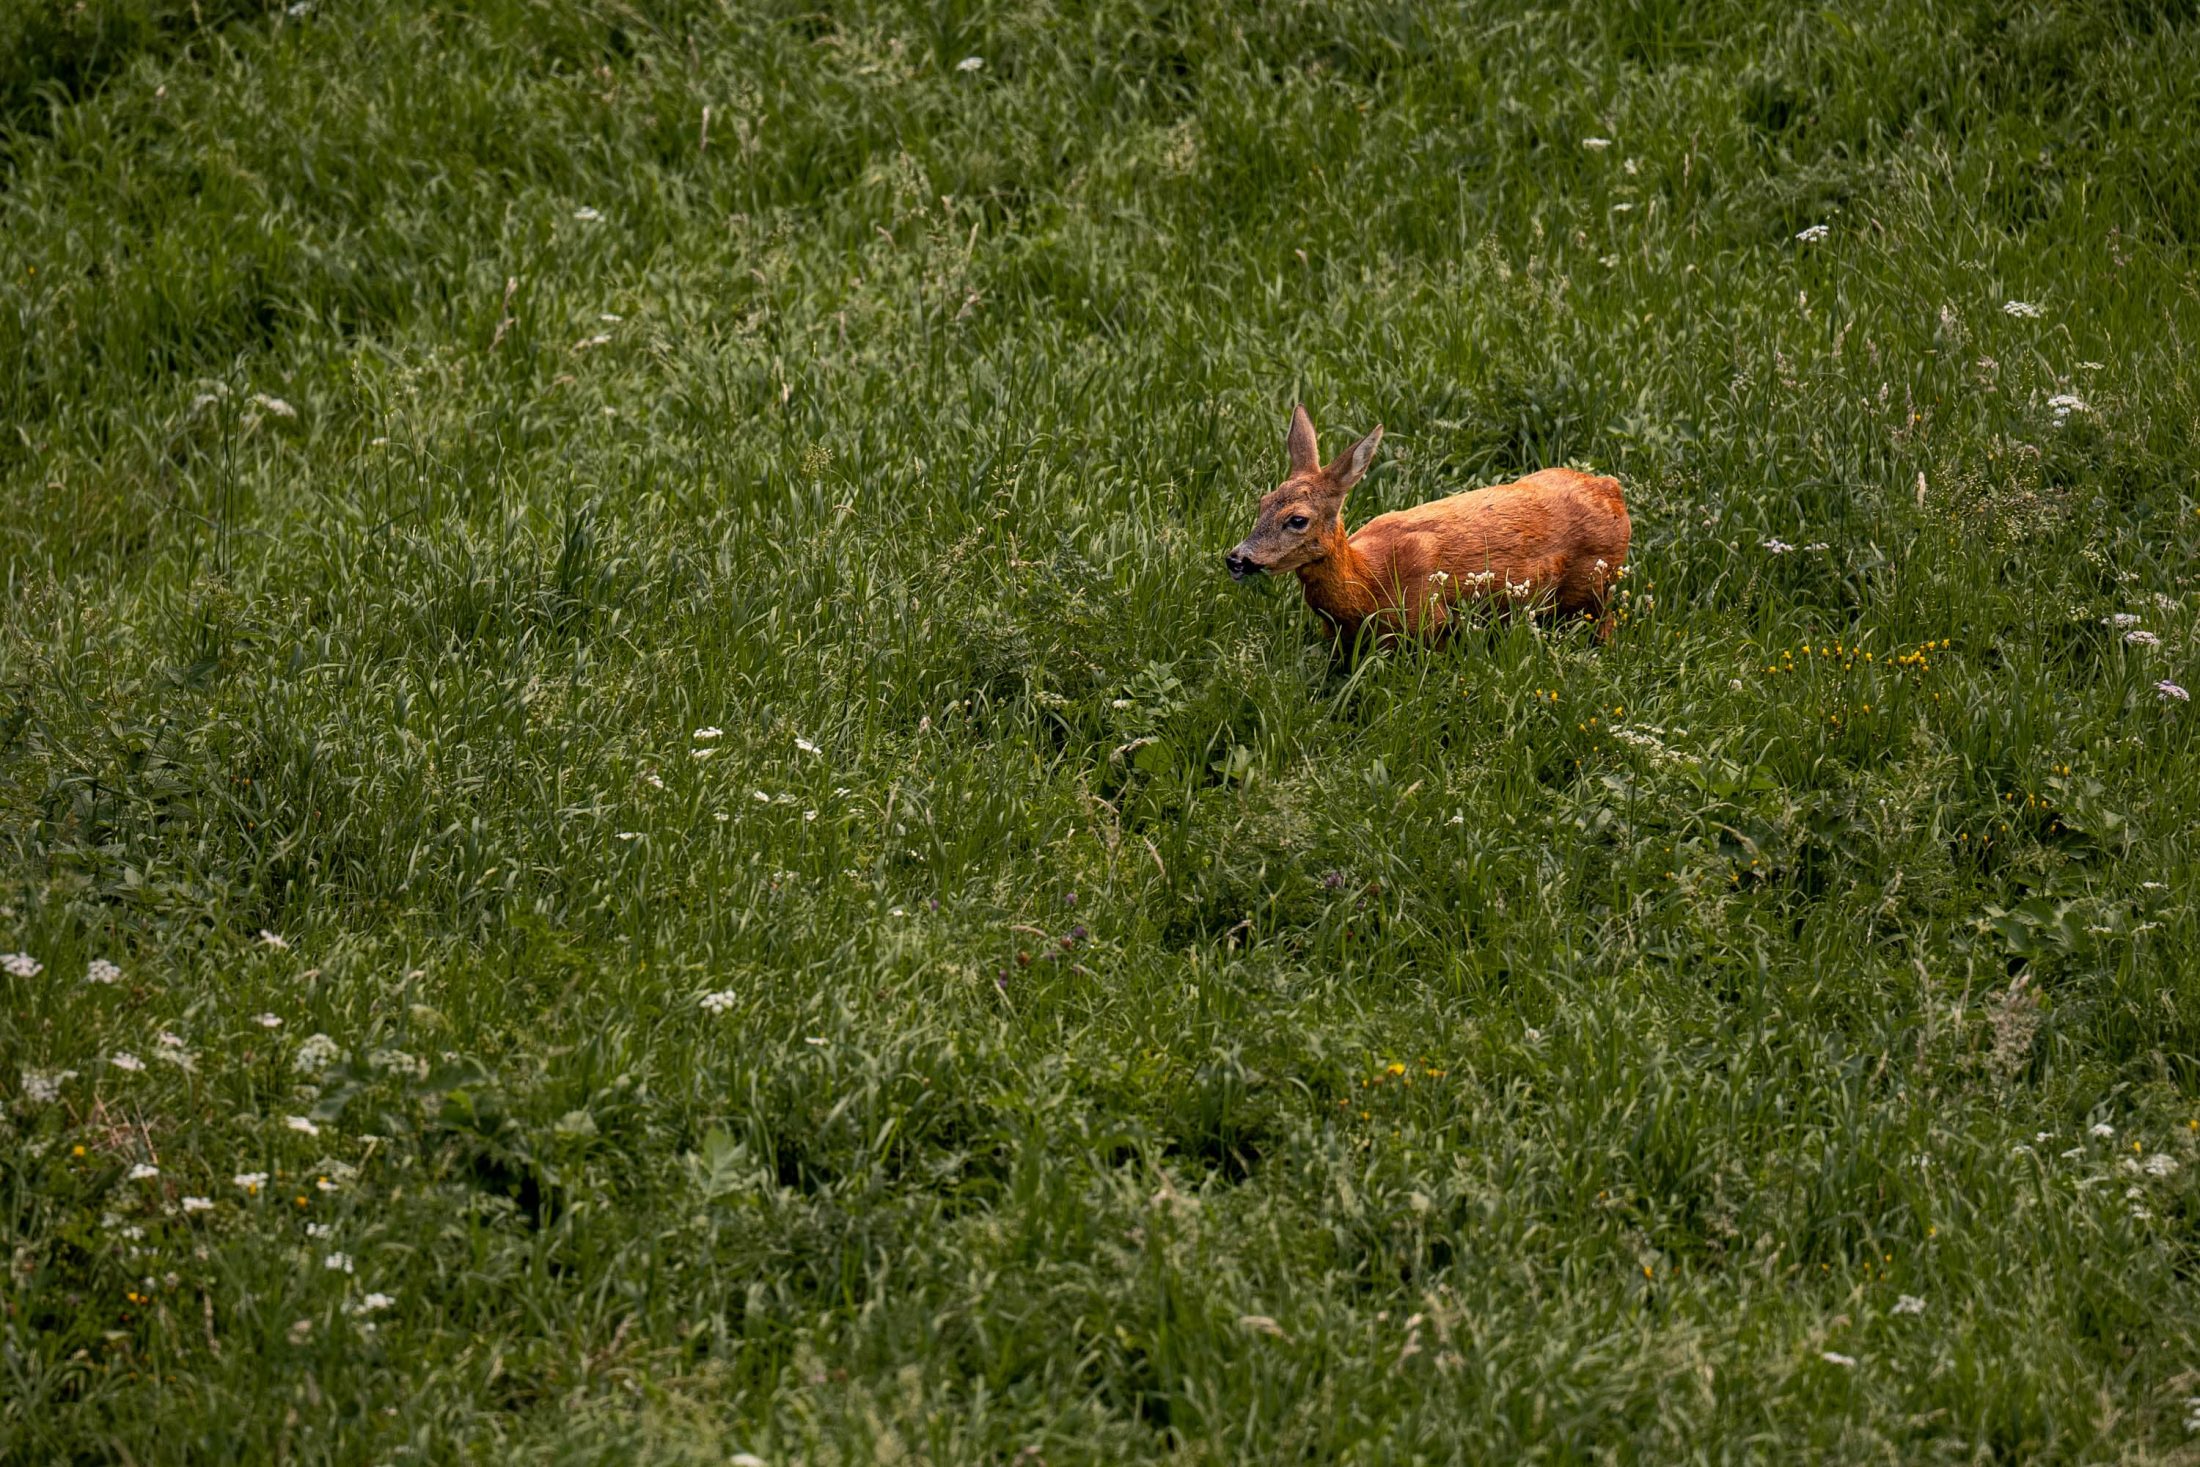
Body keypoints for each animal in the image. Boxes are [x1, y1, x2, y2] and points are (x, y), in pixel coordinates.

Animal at [1223, 411, 1636, 646]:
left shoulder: (1429, 619)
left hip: (1594, 586)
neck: (1368, 581)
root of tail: (1611, 489)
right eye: (1262, 502)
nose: (1236, 558)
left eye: (1297, 519)